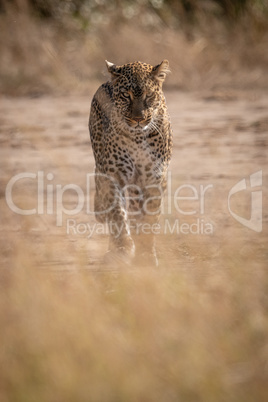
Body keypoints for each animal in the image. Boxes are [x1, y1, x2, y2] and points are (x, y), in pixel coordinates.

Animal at [89, 59, 173, 266]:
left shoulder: (154, 178)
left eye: (149, 95)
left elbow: (150, 217)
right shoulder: (113, 176)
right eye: (126, 96)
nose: (138, 119)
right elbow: (117, 214)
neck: (137, 137)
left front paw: (146, 252)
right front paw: (123, 247)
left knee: (135, 211)